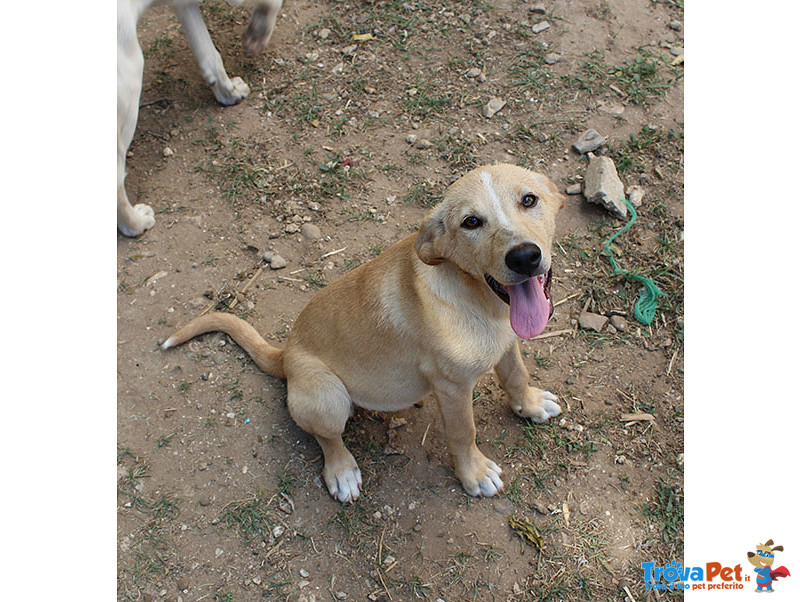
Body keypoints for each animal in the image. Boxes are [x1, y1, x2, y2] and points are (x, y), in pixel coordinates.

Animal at [117, 0, 282, 237]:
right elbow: (274, 3)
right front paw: (259, 32)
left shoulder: (185, 6)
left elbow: (209, 55)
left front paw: (228, 92)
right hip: (131, 76)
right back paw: (137, 223)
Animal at [161, 162, 564, 500]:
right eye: (471, 222)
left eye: (529, 200)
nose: (524, 257)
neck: (481, 300)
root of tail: (286, 353)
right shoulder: (451, 386)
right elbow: (463, 433)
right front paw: (475, 474)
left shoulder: (507, 344)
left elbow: (515, 375)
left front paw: (529, 404)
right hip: (328, 397)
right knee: (328, 438)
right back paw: (341, 472)